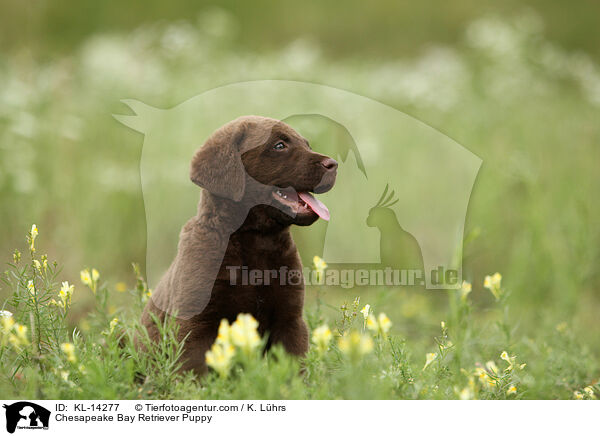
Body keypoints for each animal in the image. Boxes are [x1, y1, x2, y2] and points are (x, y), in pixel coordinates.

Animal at [141, 116, 338, 374]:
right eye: (280, 146)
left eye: (307, 144)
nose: (333, 164)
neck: (256, 240)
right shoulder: (195, 323)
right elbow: (195, 372)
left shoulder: (290, 320)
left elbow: (294, 367)